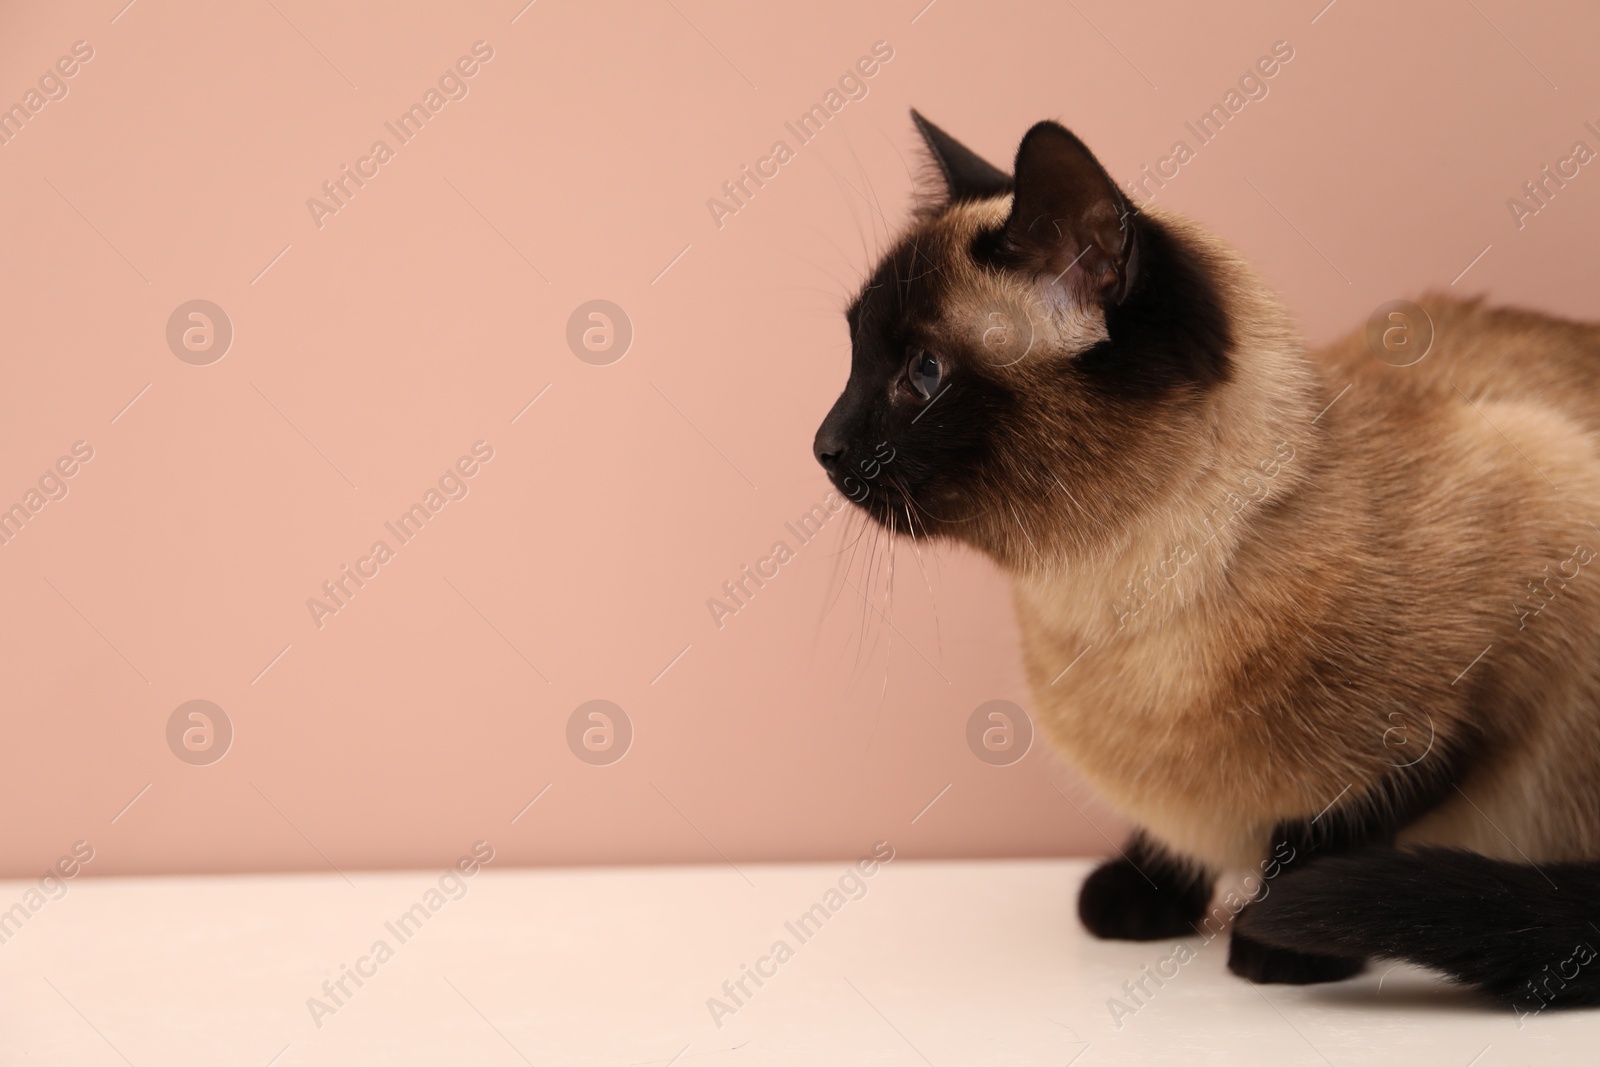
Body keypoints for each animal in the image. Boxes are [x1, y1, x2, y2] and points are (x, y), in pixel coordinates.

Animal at [812, 110, 1600, 1011]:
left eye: (923, 373)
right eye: (855, 355)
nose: (823, 446)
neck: (1110, 608)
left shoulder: (1477, 693)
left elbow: (1322, 835)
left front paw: (1278, 942)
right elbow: (1169, 831)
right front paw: (1139, 899)